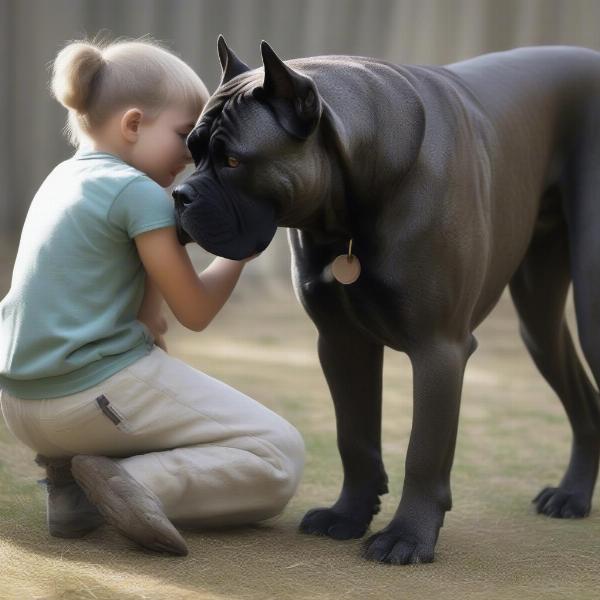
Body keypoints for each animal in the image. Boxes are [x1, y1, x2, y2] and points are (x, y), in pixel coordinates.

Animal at [172, 37, 600, 564]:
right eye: (191, 150)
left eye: (233, 162)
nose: (180, 195)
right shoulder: (340, 341)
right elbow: (354, 435)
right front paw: (348, 514)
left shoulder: (439, 349)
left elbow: (424, 451)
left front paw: (408, 536)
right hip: (539, 324)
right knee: (582, 397)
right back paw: (572, 495)